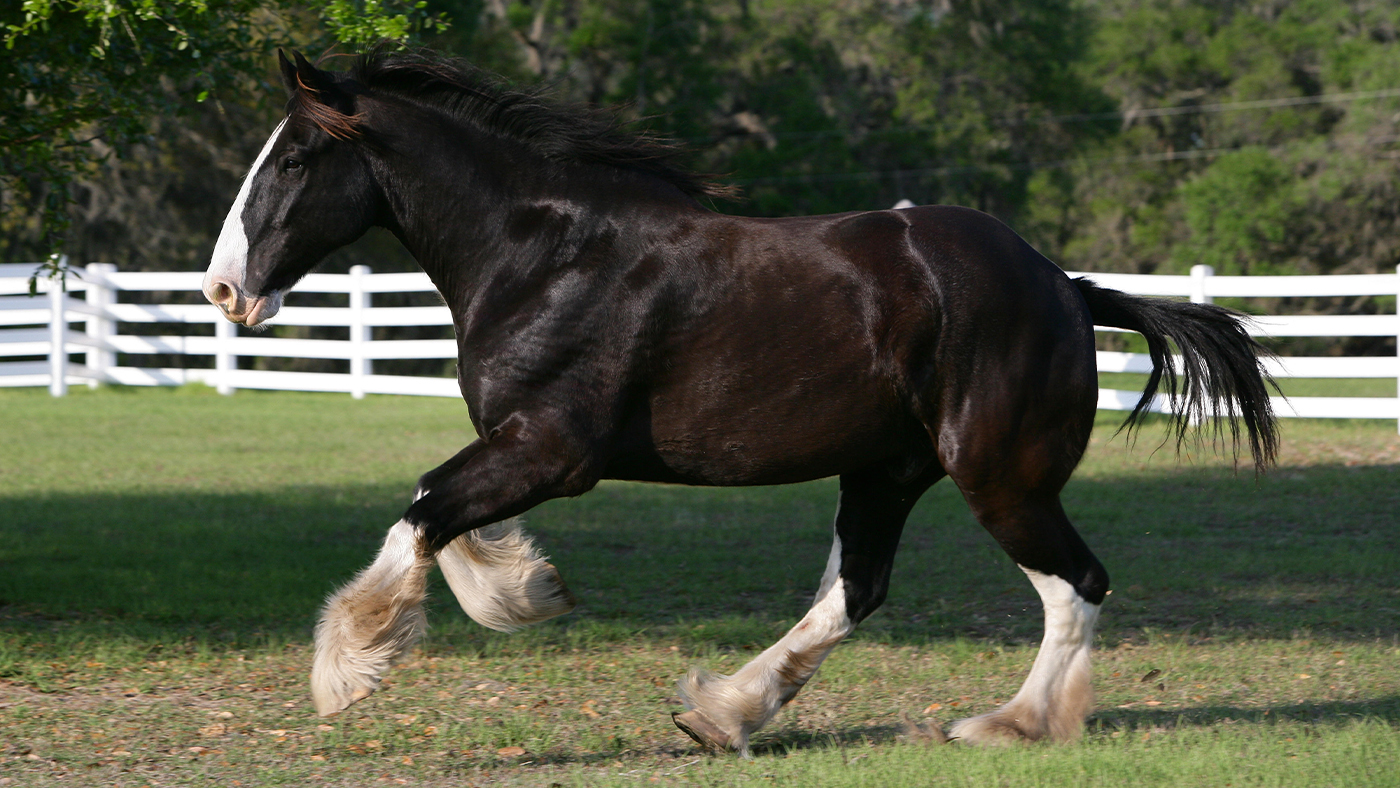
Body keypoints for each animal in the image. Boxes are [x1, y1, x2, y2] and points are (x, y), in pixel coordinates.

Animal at [203, 50, 1276, 755]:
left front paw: (346, 672)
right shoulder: (517, 445)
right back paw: (723, 712)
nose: (223, 289)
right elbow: (444, 517)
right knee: (857, 592)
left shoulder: (553, 449)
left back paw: (1009, 725)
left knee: (1075, 585)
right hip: (886, 471)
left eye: (293, 160)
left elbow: (423, 508)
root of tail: (1066, 286)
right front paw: (529, 588)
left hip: (997, 478)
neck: (543, 256)